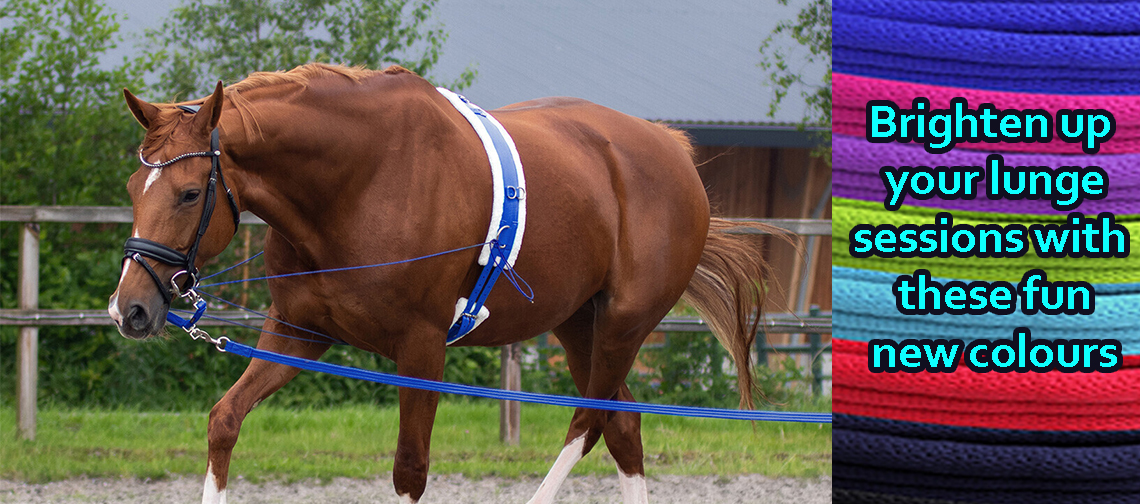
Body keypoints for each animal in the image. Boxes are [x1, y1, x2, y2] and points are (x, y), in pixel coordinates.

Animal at [108, 63, 769, 504]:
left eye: (188, 194)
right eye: (132, 190)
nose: (128, 309)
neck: (357, 183)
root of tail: (672, 148)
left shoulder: (421, 350)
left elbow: (410, 469)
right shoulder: (297, 333)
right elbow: (224, 421)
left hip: (624, 326)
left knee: (589, 423)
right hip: (579, 323)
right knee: (622, 427)